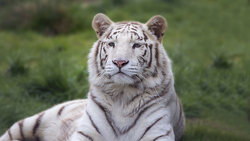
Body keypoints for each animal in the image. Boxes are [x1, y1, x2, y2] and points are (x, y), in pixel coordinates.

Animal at [0, 13, 186, 141]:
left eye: (136, 45)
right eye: (111, 44)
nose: (119, 62)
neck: (122, 95)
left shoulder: (158, 133)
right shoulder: (85, 133)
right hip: (33, 121)